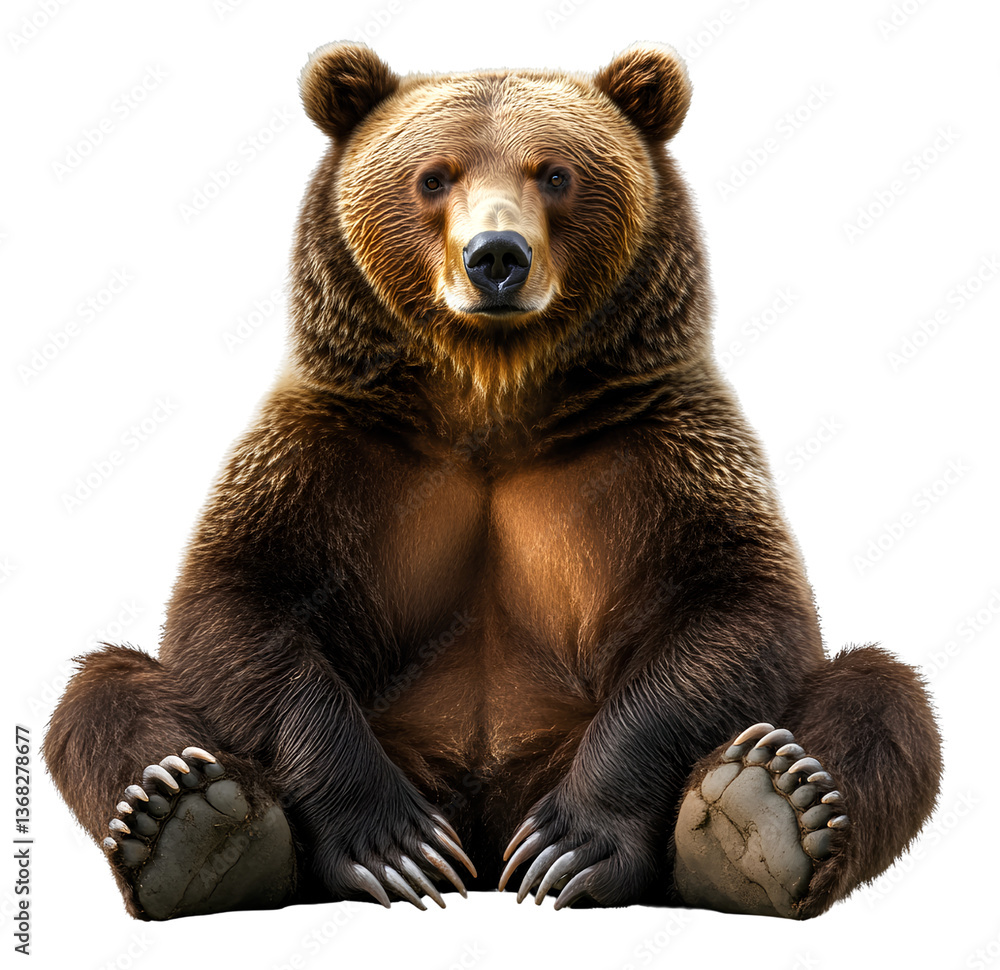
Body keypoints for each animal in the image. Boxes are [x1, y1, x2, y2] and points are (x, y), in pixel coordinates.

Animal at [43, 41, 942, 921]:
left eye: (556, 173)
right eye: (433, 176)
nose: (497, 258)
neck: (491, 399)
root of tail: (484, 838)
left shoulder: (663, 446)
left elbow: (741, 608)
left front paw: (572, 847)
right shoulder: (333, 448)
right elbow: (234, 608)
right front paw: (393, 847)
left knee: (878, 695)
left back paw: (763, 814)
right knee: (106, 692)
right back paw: (191, 819)